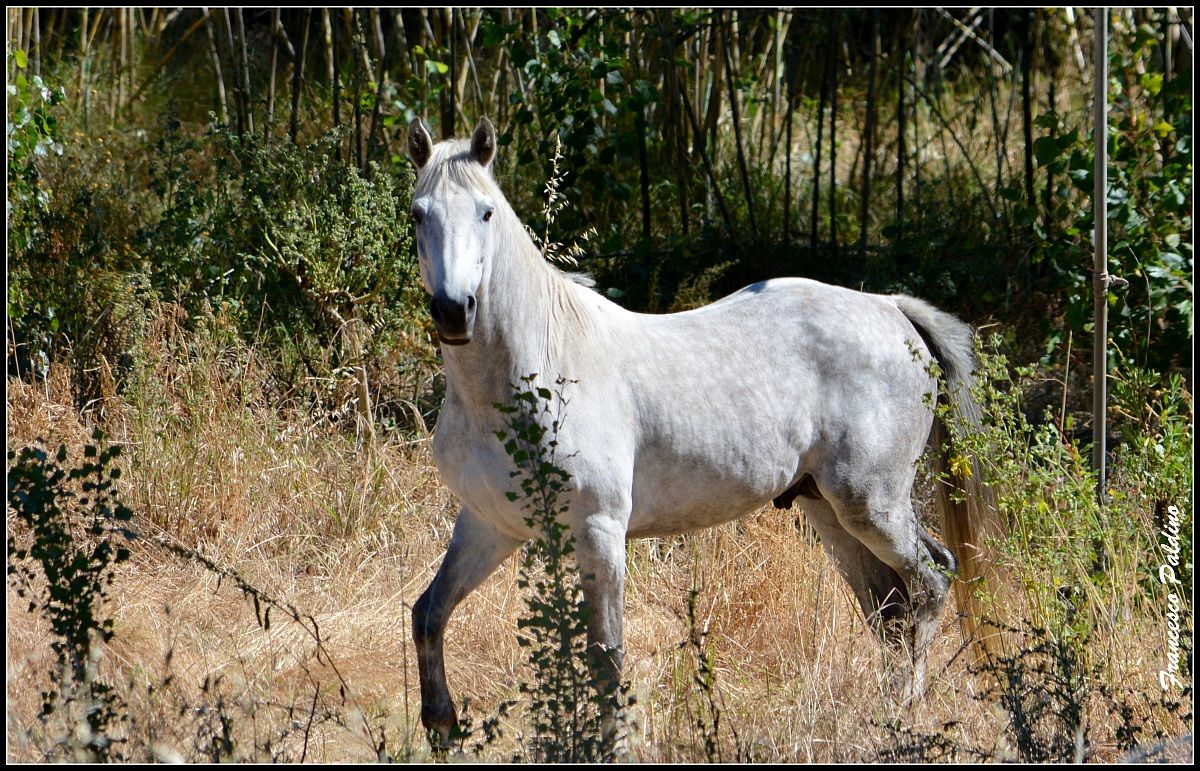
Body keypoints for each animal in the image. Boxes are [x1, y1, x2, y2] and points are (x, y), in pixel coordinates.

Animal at [407, 117, 1005, 749]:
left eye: (486, 213)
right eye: (418, 214)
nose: (454, 311)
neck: (538, 369)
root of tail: (893, 311)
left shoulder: (599, 531)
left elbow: (605, 656)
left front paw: (612, 746)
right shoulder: (489, 525)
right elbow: (429, 613)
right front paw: (441, 726)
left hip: (871, 504)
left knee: (929, 584)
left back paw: (904, 715)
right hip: (827, 510)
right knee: (889, 608)